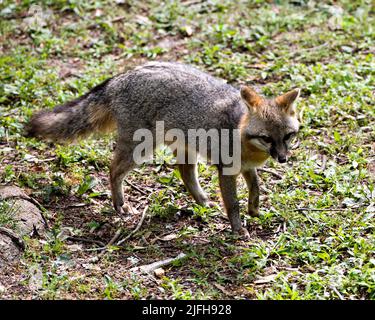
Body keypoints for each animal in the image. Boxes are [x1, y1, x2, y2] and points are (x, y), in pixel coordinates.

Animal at [26, 62, 302, 235]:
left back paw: (202, 201)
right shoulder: (226, 170)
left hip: (186, 149)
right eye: (267, 138)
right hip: (141, 148)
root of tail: (122, 77)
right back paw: (120, 205)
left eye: (288, 136)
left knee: (185, 174)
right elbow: (233, 204)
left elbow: (256, 188)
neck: (240, 130)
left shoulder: (245, 168)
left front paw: (254, 210)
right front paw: (238, 229)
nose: (282, 159)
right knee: (113, 170)